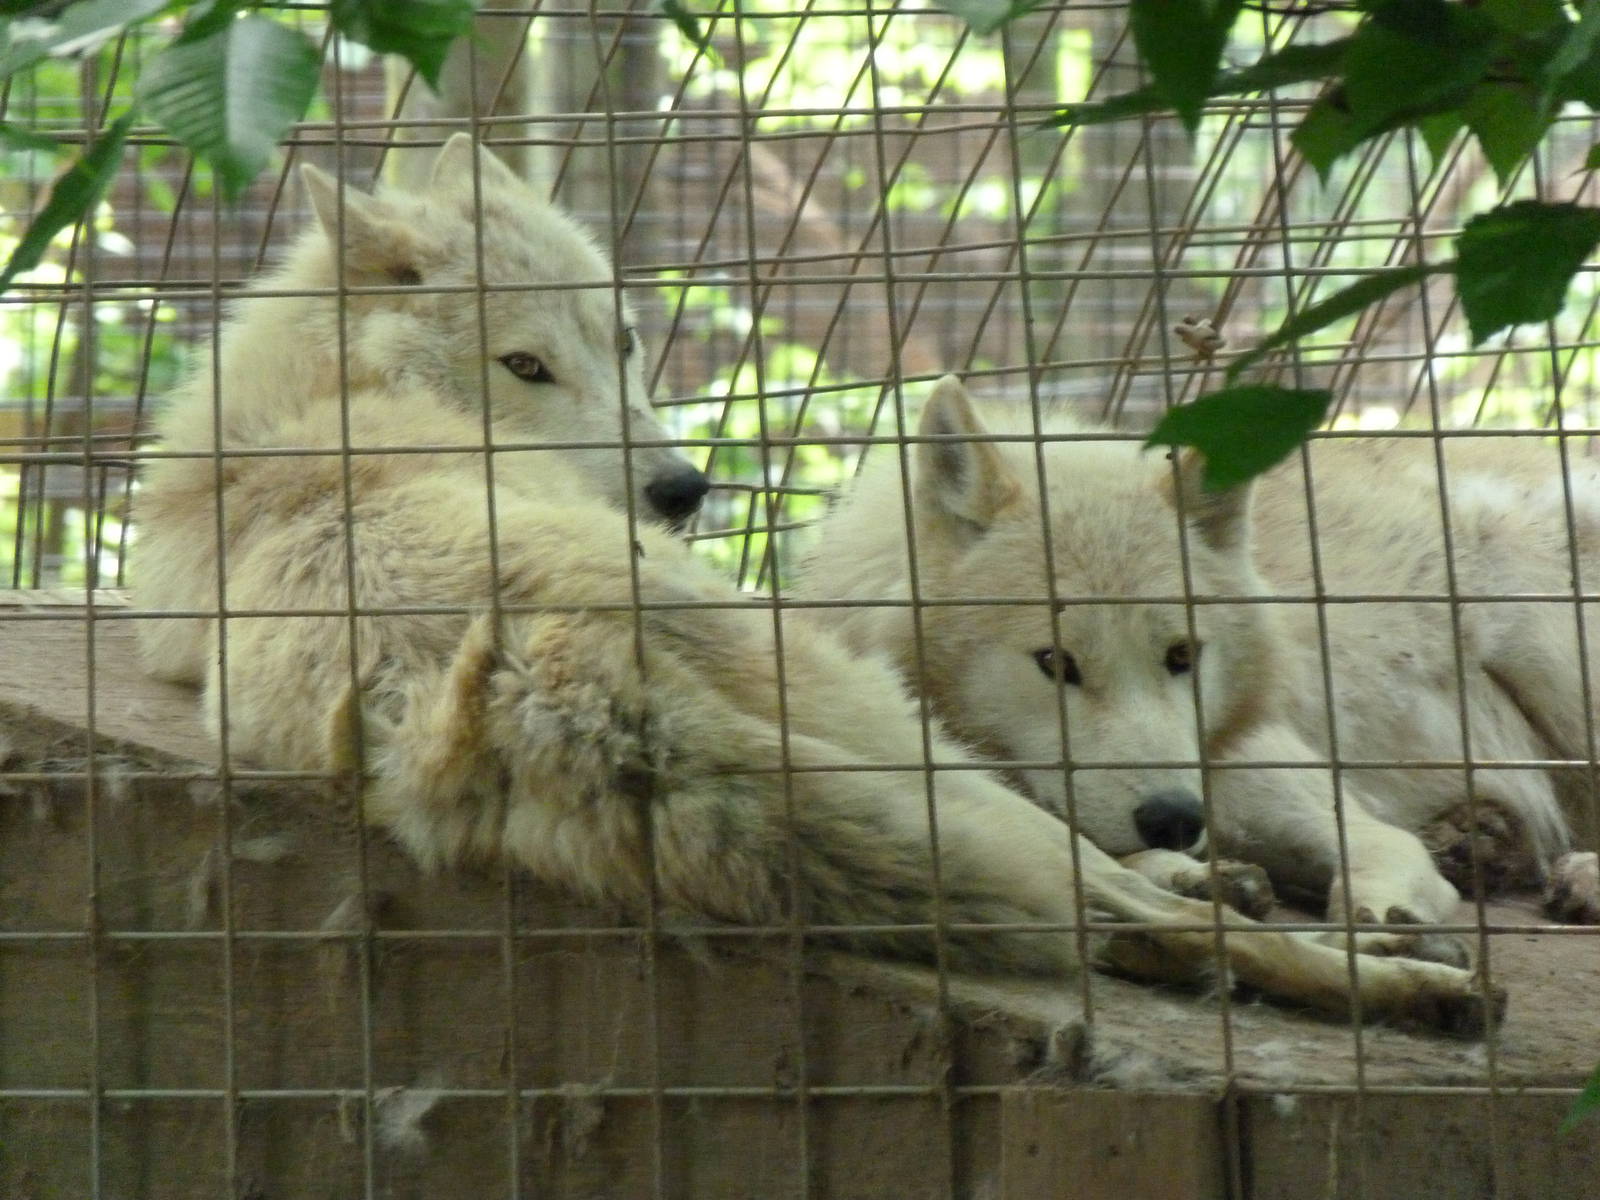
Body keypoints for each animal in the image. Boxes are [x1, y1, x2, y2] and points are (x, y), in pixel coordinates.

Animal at [130, 137, 1500, 1035]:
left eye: (622, 340)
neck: (313, 403)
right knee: (1105, 883)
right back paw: (1416, 987)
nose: (683, 490)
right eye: (525, 365)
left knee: (1115, 911)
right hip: (896, 729)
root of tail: (544, 680)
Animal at [797, 375, 1600, 948]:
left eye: (1182, 654)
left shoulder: (1281, 778)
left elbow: (1386, 862)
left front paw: (1383, 927)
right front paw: (1196, 879)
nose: (1175, 817)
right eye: (1056, 661)